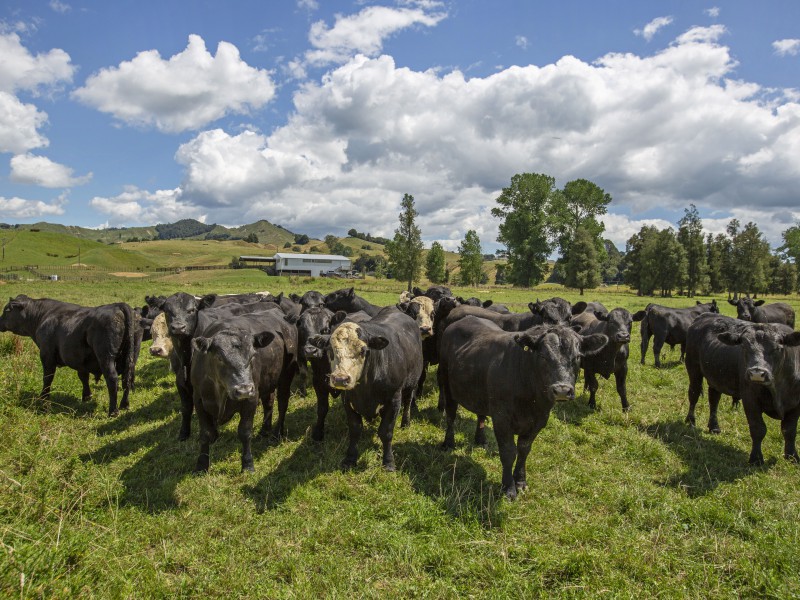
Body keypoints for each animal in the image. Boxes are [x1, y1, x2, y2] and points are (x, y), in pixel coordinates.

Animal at [0, 292, 137, 414]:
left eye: (7, 310)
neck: (42, 315)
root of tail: (117, 305)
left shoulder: (47, 354)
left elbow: (47, 378)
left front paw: (44, 398)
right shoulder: (80, 360)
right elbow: (83, 377)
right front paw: (86, 397)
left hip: (106, 357)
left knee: (112, 379)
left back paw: (113, 411)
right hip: (128, 357)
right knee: (127, 378)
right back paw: (125, 404)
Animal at [192, 310, 298, 474]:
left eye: (253, 355)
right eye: (219, 358)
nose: (244, 389)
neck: (220, 392)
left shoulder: (250, 400)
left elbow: (245, 432)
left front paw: (248, 465)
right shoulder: (199, 401)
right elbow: (205, 434)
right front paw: (201, 465)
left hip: (286, 376)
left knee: (282, 404)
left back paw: (276, 434)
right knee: (269, 403)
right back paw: (264, 430)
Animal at [308, 308, 424, 472]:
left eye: (363, 350)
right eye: (330, 350)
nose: (340, 379)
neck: (365, 389)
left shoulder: (394, 400)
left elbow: (386, 432)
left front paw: (388, 462)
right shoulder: (348, 401)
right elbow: (355, 430)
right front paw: (350, 459)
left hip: (412, 382)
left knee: (408, 401)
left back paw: (405, 422)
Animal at [438, 318, 608, 502]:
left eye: (577, 357)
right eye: (543, 356)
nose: (562, 390)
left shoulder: (539, 420)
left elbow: (524, 449)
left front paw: (520, 481)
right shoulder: (502, 419)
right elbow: (508, 452)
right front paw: (508, 487)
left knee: (480, 415)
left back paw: (480, 439)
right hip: (447, 385)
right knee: (451, 415)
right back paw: (448, 443)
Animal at [720, 324, 800, 464]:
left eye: (777, 348)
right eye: (744, 346)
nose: (757, 373)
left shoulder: (796, 405)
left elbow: (789, 430)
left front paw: (792, 456)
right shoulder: (750, 401)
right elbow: (758, 429)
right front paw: (756, 458)